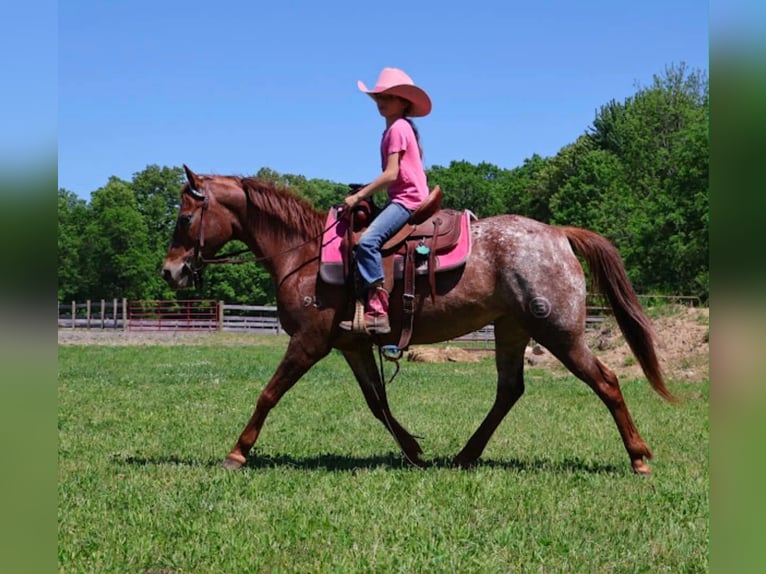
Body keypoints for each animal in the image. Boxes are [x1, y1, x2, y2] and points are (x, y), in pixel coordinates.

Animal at [162, 165, 675, 475]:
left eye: (185, 219)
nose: (170, 271)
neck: (305, 255)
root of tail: (558, 234)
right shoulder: (351, 345)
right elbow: (376, 402)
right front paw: (413, 450)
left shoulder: (309, 342)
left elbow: (268, 394)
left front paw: (237, 452)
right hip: (512, 330)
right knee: (509, 391)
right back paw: (465, 455)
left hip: (560, 334)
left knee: (606, 381)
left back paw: (639, 458)